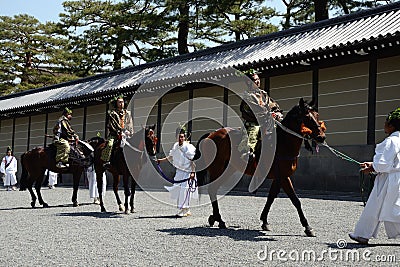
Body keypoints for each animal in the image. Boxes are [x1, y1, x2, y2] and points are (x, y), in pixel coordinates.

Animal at [193, 98, 324, 237]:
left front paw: (264, 221)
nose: (322, 137)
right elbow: (295, 200)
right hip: (217, 168)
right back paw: (219, 219)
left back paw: (215, 218)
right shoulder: (283, 177)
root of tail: (211, 134)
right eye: (307, 117)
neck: (283, 143)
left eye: (317, 115)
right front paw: (307, 227)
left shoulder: (279, 177)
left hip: (228, 169)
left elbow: (271, 198)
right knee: (212, 189)